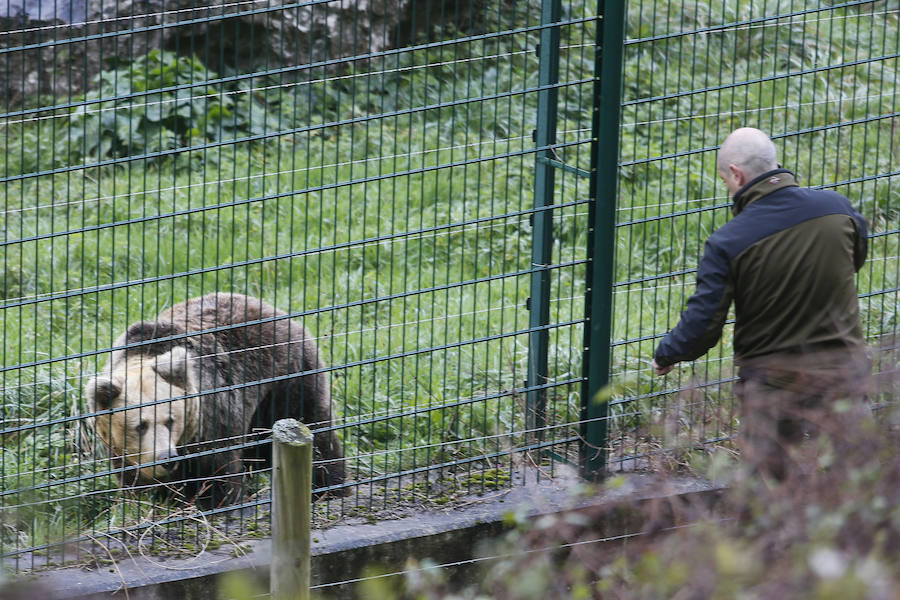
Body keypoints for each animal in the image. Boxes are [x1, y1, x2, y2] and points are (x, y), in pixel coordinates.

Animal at [84, 292, 344, 504]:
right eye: (140, 425)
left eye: (171, 420)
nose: (166, 458)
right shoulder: (122, 450)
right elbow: (135, 483)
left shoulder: (212, 419)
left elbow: (217, 476)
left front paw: (214, 502)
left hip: (287, 380)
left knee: (317, 433)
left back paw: (329, 488)